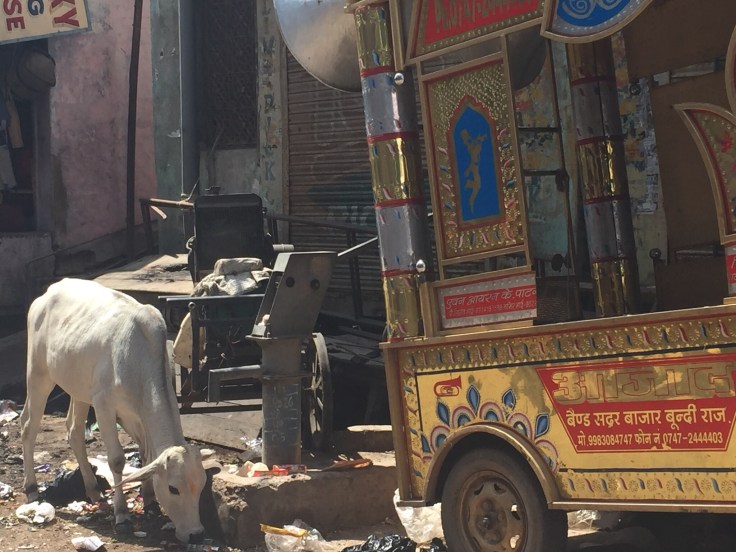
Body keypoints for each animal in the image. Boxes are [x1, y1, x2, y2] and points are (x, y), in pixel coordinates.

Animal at [20, 278, 208, 544]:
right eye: (173, 488)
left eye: (201, 485)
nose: (196, 535)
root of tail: (49, 292)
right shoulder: (104, 405)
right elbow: (117, 460)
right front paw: (122, 514)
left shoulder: (136, 416)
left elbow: (146, 455)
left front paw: (149, 501)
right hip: (39, 374)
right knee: (29, 426)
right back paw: (32, 489)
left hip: (79, 388)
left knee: (74, 431)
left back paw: (93, 490)